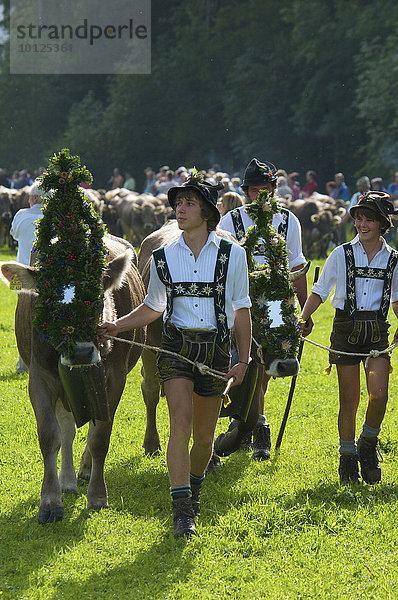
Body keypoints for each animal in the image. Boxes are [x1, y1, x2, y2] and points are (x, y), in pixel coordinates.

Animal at [0, 234, 146, 524]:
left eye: (99, 297)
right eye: (49, 301)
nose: (79, 352)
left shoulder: (114, 379)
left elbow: (100, 437)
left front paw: (97, 496)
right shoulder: (40, 377)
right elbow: (49, 436)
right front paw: (49, 501)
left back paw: (86, 470)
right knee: (66, 429)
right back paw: (66, 481)